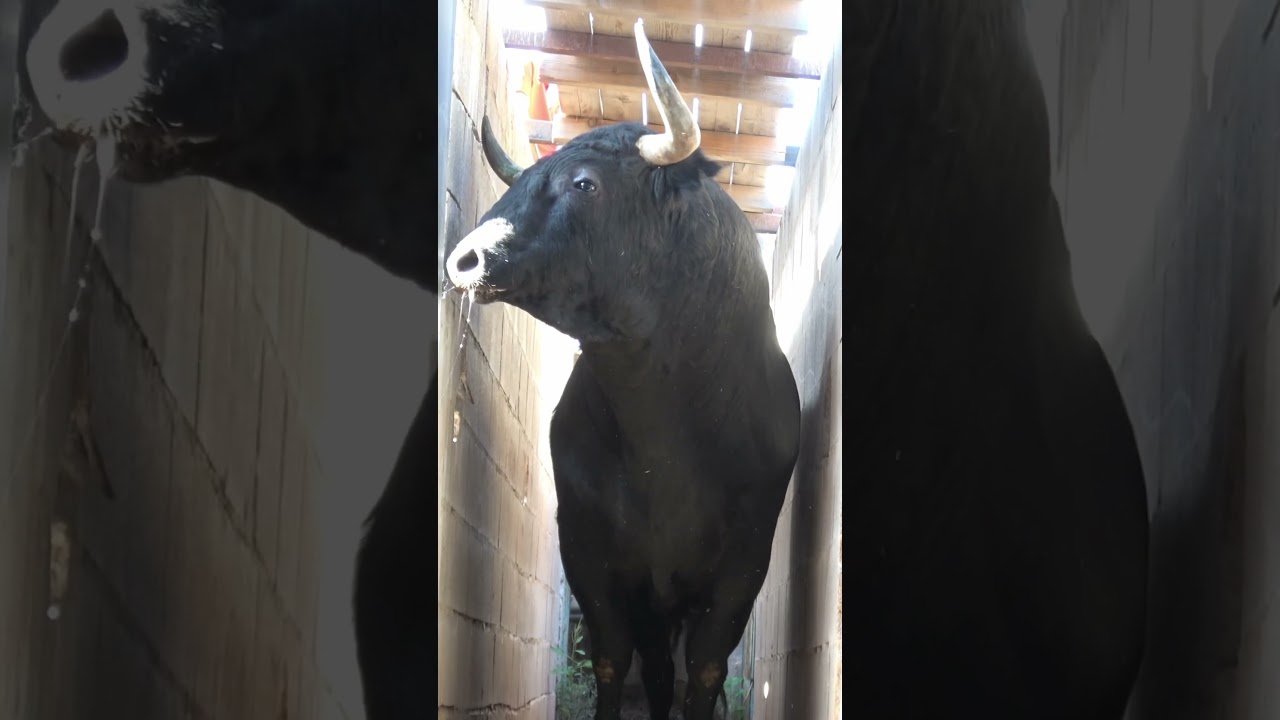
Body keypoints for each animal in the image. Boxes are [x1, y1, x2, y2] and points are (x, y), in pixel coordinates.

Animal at [444, 21, 802, 720]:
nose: (464, 258)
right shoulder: (593, 555)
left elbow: (706, 670)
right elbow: (612, 659)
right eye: (523, 180)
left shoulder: (743, 563)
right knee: (654, 667)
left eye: (584, 183)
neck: (663, 434)